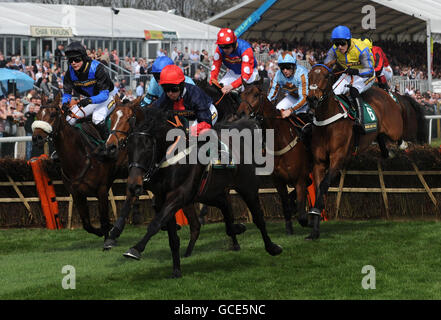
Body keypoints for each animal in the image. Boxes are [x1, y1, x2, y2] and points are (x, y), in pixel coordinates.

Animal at [31, 94, 141, 246]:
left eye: (53, 114)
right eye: (37, 114)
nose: (36, 138)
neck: (80, 158)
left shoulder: (102, 190)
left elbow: (104, 219)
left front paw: (108, 238)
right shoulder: (77, 194)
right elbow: (86, 224)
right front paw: (103, 231)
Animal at [122, 107, 280, 278]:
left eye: (147, 148)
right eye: (128, 148)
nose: (133, 185)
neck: (172, 160)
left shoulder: (179, 195)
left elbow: (155, 223)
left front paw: (135, 249)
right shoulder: (162, 198)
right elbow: (172, 237)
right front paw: (176, 270)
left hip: (247, 187)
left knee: (258, 218)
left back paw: (272, 247)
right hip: (209, 193)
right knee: (225, 206)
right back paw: (236, 229)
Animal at [235, 84, 312, 235]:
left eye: (255, 95)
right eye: (241, 95)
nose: (241, 114)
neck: (281, 140)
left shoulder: (300, 178)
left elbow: (302, 214)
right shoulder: (278, 181)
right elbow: (286, 205)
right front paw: (289, 227)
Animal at [304, 60, 404, 240]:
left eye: (326, 76)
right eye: (309, 75)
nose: (312, 99)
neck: (327, 123)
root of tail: (383, 91)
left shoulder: (338, 158)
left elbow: (324, 185)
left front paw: (315, 212)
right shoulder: (319, 162)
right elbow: (318, 187)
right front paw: (315, 229)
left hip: (395, 128)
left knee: (399, 134)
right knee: (380, 137)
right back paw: (387, 152)